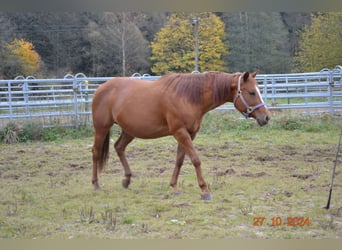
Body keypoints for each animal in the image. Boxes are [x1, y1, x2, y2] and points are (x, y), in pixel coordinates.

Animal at [91, 71, 270, 200]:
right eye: (252, 92)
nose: (266, 117)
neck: (188, 97)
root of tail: (101, 88)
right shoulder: (180, 132)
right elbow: (196, 159)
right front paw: (204, 190)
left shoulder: (189, 133)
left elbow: (180, 160)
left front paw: (174, 187)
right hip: (101, 128)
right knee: (96, 153)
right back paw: (96, 185)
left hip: (129, 131)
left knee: (119, 147)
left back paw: (127, 180)